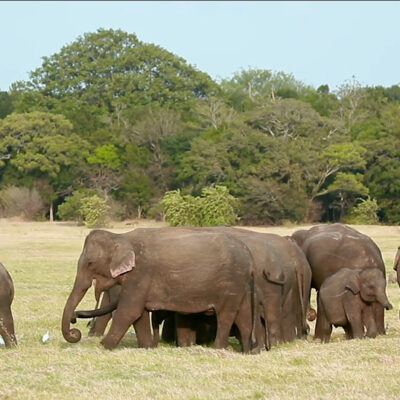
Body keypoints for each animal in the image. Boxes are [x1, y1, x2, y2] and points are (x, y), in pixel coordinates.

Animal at [61, 228, 258, 354]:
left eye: (90, 263)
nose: (74, 324)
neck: (121, 237)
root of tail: (249, 256)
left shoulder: (141, 274)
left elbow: (129, 312)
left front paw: (103, 346)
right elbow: (139, 315)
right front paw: (146, 347)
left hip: (230, 285)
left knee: (225, 317)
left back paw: (218, 349)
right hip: (242, 286)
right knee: (244, 318)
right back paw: (247, 351)